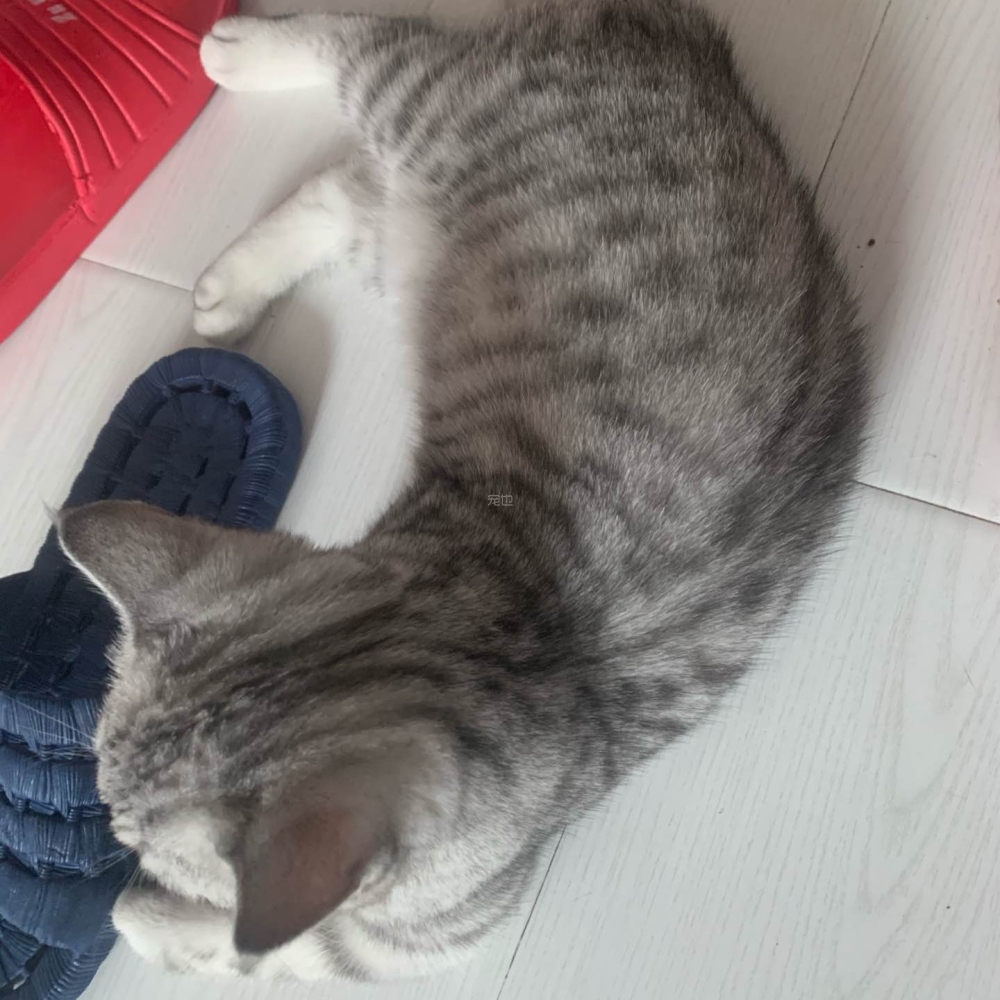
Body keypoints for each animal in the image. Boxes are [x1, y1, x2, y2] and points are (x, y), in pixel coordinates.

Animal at [57, 0, 868, 982]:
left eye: (148, 848)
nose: (115, 838)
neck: (501, 623)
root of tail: (683, 50)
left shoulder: (416, 942)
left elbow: (282, 950)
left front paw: (148, 920)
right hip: (431, 128)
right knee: (365, 74)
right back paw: (246, 75)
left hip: (425, 170)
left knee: (358, 133)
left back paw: (240, 103)